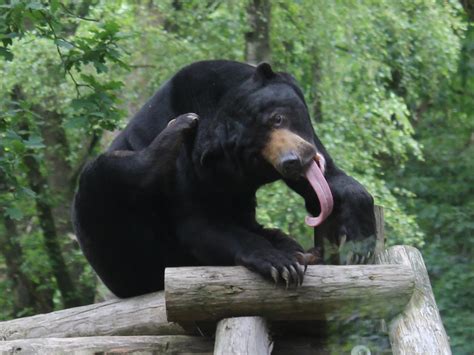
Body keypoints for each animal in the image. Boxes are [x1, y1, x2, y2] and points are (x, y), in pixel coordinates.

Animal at [72, 60, 376, 298]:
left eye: (277, 118)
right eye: (255, 150)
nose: (292, 161)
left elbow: (325, 179)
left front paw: (359, 240)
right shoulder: (187, 167)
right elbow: (199, 224)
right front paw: (279, 264)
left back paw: (299, 250)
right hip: (123, 247)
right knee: (109, 173)